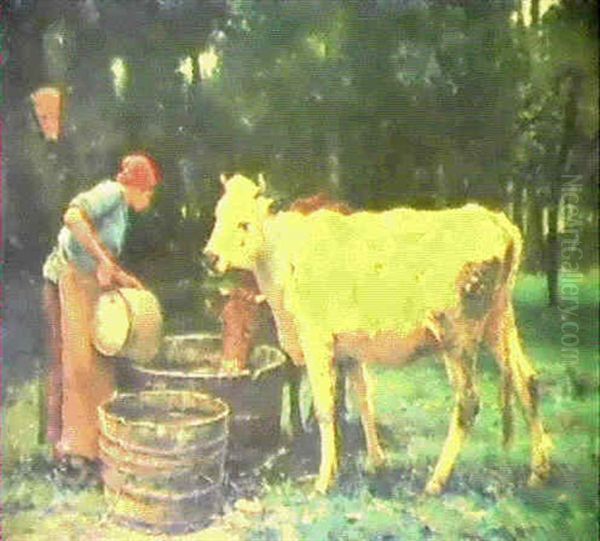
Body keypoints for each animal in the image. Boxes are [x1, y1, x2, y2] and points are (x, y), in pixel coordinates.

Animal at [205, 173, 552, 494]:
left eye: (244, 223)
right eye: (217, 215)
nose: (210, 257)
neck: (286, 258)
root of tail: (491, 217)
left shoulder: (316, 341)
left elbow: (326, 409)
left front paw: (323, 481)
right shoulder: (349, 351)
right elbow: (363, 400)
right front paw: (375, 462)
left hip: (458, 334)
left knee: (468, 401)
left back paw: (436, 482)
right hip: (499, 320)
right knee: (527, 381)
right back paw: (539, 472)